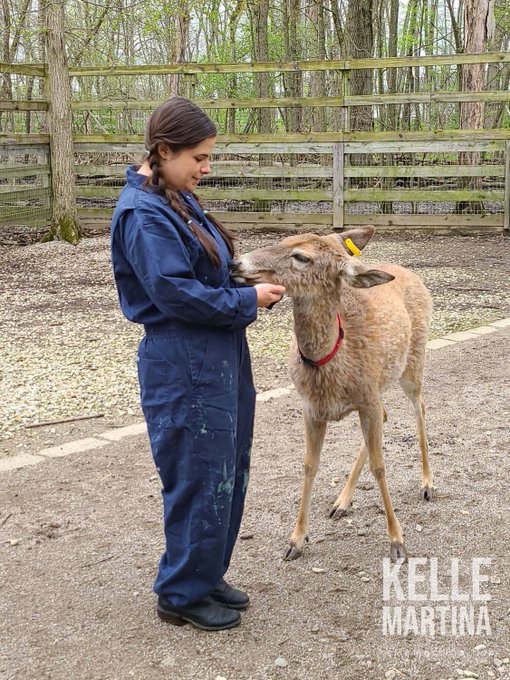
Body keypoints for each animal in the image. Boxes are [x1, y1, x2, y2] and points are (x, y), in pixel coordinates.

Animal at [231, 225, 434, 562]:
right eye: (284, 240)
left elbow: (380, 466)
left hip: (413, 361)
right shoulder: (312, 408)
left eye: (302, 257)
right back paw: (342, 501)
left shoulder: (367, 398)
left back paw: (428, 483)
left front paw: (397, 540)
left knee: (420, 405)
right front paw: (296, 540)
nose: (236, 263)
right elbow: (309, 466)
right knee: (389, 414)